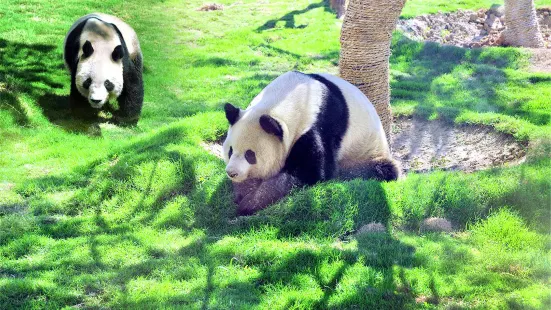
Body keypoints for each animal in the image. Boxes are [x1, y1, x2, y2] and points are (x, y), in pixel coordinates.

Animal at [224, 71, 402, 216]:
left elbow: (309, 174)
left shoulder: (319, 125)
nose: (231, 172)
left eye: (250, 155)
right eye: (230, 151)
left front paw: (250, 203)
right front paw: (244, 191)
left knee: (382, 169)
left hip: (366, 151)